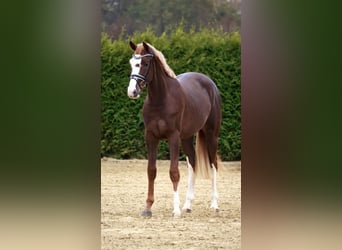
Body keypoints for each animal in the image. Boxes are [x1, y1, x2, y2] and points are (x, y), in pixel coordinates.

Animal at [127, 41, 222, 217]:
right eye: (131, 63)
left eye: (145, 63)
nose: (132, 91)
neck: (161, 99)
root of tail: (209, 83)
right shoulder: (151, 137)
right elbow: (151, 170)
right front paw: (148, 207)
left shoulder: (173, 138)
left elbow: (174, 172)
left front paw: (176, 210)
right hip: (187, 138)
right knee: (193, 162)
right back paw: (188, 205)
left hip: (211, 135)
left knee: (213, 165)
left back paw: (214, 205)